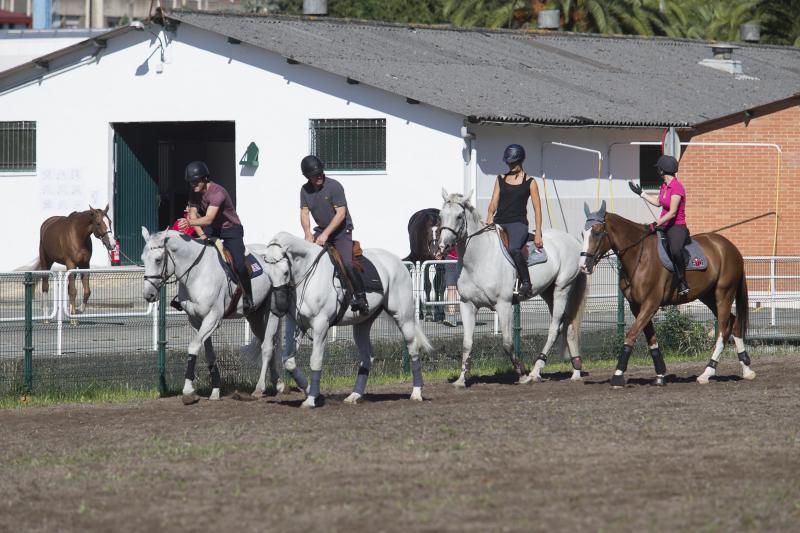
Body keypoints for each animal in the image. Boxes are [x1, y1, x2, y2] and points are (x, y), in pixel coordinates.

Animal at [141, 227, 284, 402]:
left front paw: (188, 390)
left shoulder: (212, 318)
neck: (197, 271)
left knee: (268, 347)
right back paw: (278, 383)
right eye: (143, 259)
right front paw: (215, 390)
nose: (148, 295)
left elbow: (193, 346)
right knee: (267, 343)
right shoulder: (196, 320)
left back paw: (259, 388)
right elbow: (209, 354)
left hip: (271, 313)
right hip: (255, 317)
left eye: (158, 260)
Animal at [262, 231, 432, 410]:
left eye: (285, 273)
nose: (279, 306)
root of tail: (398, 262)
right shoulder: (295, 324)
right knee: (367, 357)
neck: (308, 276)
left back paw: (416, 393)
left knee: (413, 348)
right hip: (362, 324)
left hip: (403, 317)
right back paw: (354, 395)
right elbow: (288, 361)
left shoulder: (321, 325)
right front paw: (314, 394)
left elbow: (315, 361)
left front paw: (311, 399)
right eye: (268, 275)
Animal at [438, 189, 588, 384]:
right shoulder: (467, 304)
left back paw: (535, 372)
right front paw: (462, 379)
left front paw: (522, 374)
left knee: (555, 328)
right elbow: (466, 344)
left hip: (562, 289)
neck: (479, 258)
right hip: (548, 293)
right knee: (568, 325)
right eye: (441, 216)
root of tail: (573, 241)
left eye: (458, 216)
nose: (443, 246)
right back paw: (576, 372)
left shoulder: (504, 304)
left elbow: (508, 343)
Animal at [580, 201, 752, 386]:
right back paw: (746, 369)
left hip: (724, 294)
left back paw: (707, 372)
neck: (639, 255)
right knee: (734, 323)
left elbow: (631, 335)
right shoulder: (637, 307)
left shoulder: (650, 304)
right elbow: (651, 340)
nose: (583, 266)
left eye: (597, 232)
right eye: (583, 233)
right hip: (708, 296)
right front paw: (660, 375)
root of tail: (730, 247)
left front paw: (618, 375)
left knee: (722, 329)